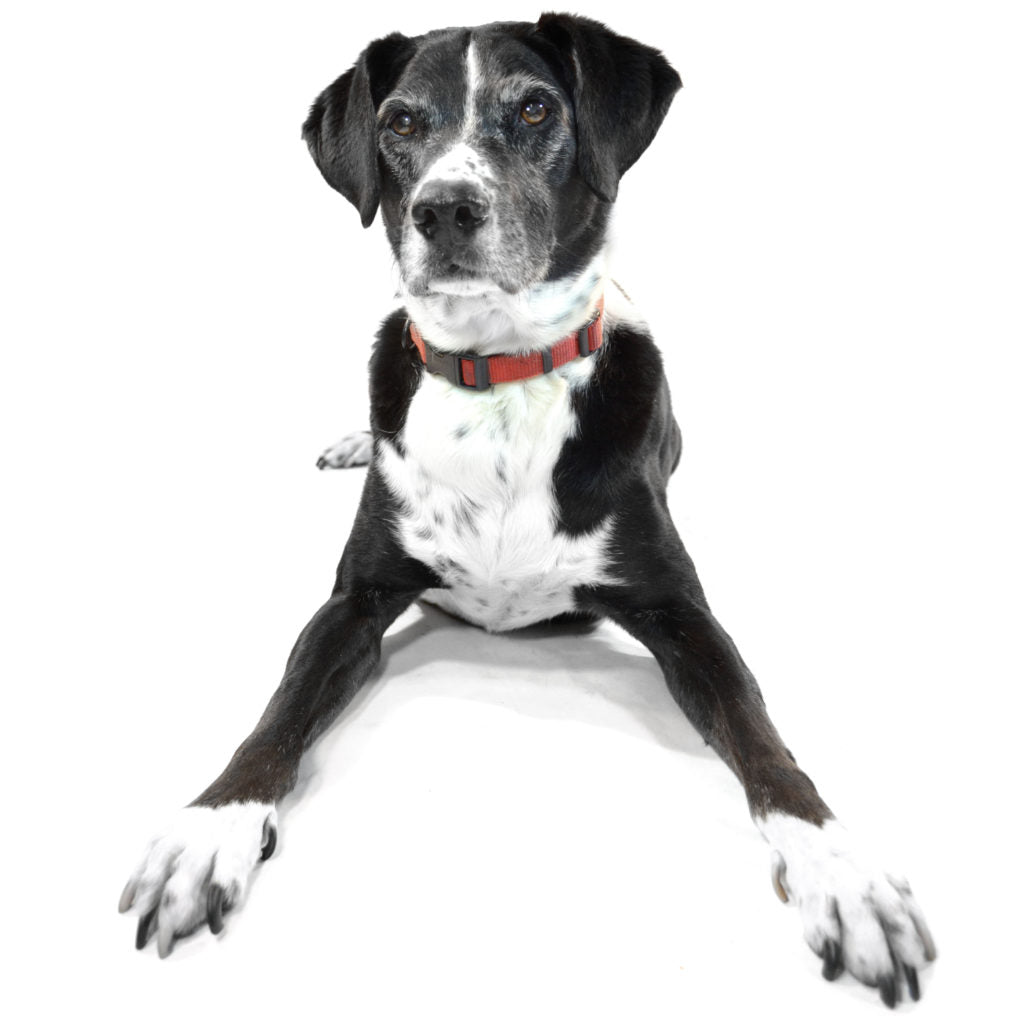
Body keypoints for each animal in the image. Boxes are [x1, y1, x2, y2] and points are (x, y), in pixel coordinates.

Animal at [119, 14, 937, 1007]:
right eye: (400, 121)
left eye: (537, 108)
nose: (443, 210)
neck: (500, 378)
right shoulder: (352, 604)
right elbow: (275, 716)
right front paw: (208, 833)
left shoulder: (682, 614)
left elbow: (763, 738)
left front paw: (842, 875)